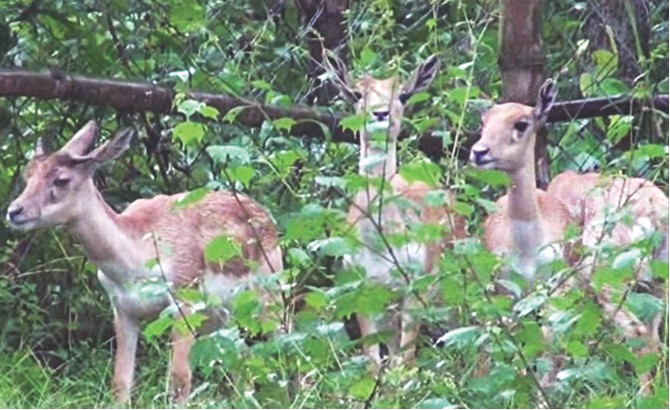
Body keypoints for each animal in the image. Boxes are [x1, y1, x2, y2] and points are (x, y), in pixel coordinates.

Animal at [5, 121, 284, 404]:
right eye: (28, 175)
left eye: (62, 179)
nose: (14, 211)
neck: (135, 261)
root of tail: (269, 219)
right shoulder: (122, 309)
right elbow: (120, 382)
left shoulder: (183, 296)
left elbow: (179, 380)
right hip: (221, 314)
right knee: (241, 358)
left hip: (271, 292)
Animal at [342, 55, 468, 368]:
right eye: (356, 93)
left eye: (403, 93)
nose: (380, 113)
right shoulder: (364, 291)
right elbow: (374, 361)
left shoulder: (417, 285)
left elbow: (405, 361)